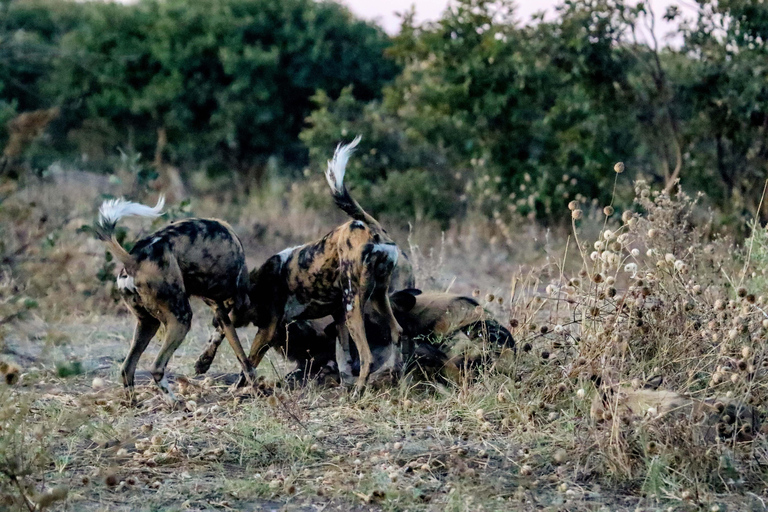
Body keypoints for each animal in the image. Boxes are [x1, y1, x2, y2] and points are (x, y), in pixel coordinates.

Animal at [95, 195, 255, 400]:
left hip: (148, 323)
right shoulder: (236, 306)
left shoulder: (219, 308)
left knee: (127, 368)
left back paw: (134, 403)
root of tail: (133, 259)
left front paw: (203, 362)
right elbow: (242, 355)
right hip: (182, 320)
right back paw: (174, 401)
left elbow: (221, 336)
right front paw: (253, 383)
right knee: (156, 367)